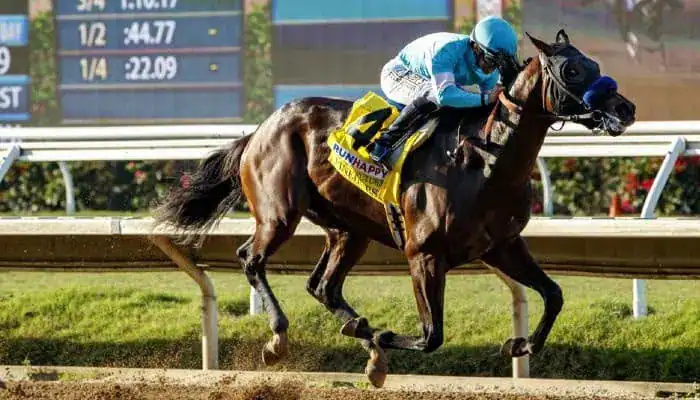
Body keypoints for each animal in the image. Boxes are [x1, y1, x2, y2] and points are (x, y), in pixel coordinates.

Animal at [153, 30, 636, 387]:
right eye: (571, 69)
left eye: (595, 65)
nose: (625, 108)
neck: (487, 159)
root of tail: (259, 130)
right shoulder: (423, 254)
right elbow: (432, 335)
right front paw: (383, 338)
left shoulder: (502, 245)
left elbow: (553, 294)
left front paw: (520, 346)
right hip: (279, 213)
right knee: (251, 258)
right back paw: (281, 339)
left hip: (349, 230)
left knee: (324, 286)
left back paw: (361, 337)